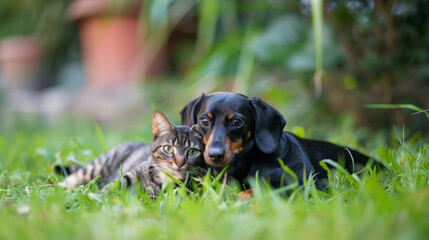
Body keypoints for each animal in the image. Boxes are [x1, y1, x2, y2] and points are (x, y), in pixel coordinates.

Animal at [58, 111, 206, 196]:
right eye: (168, 149)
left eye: (192, 152)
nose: (180, 163)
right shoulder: (127, 177)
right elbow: (107, 190)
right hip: (98, 165)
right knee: (72, 178)